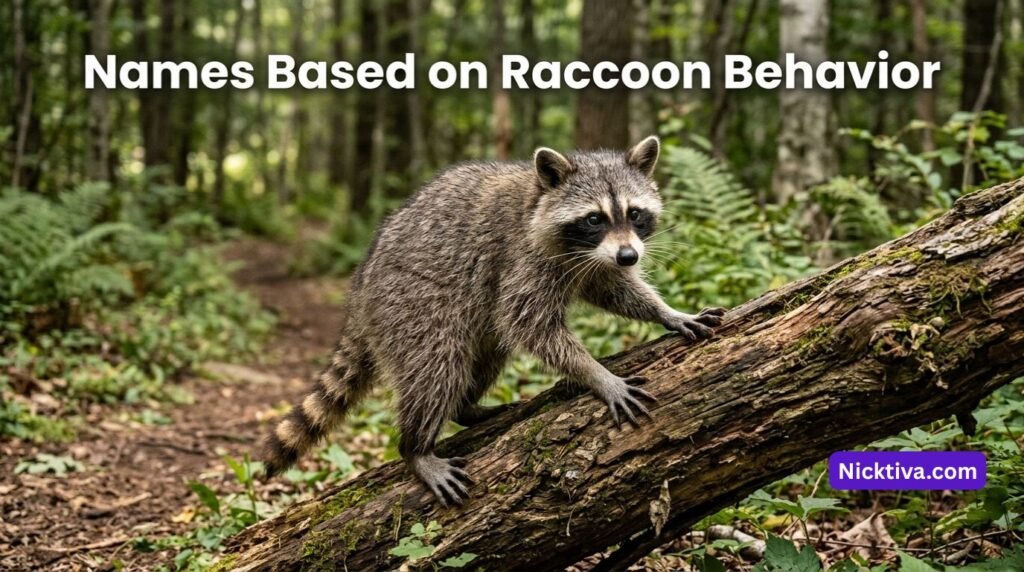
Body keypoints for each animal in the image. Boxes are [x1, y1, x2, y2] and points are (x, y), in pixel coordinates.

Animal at [262, 136, 726, 506]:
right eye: (594, 218)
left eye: (634, 214)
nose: (630, 256)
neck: (540, 202)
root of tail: (360, 292)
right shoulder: (523, 256)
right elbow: (528, 324)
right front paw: (598, 374)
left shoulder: (592, 261)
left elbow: (612, 287)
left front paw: (666, 311)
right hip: (411, 305)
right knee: (438, 366)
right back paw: (415, 447)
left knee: (487, 352)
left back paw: (467, 407)